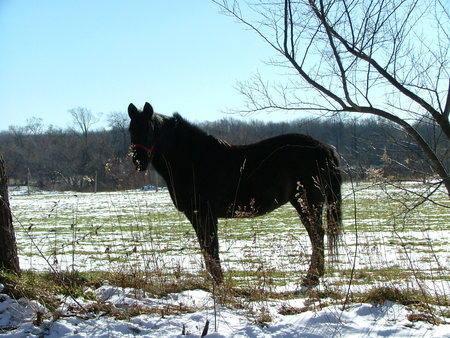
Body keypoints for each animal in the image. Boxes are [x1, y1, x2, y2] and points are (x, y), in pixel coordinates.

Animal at [128, 102, 342, 286]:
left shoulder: (205, 213)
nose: (138, 161)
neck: (192, 158)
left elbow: (211, 247)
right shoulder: (197, 215)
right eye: (131, 130)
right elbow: (206, 248)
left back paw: (312, 278)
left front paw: (218, 282)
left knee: (317, 234)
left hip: (308, 202)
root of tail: (324, 148)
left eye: (149, 129)